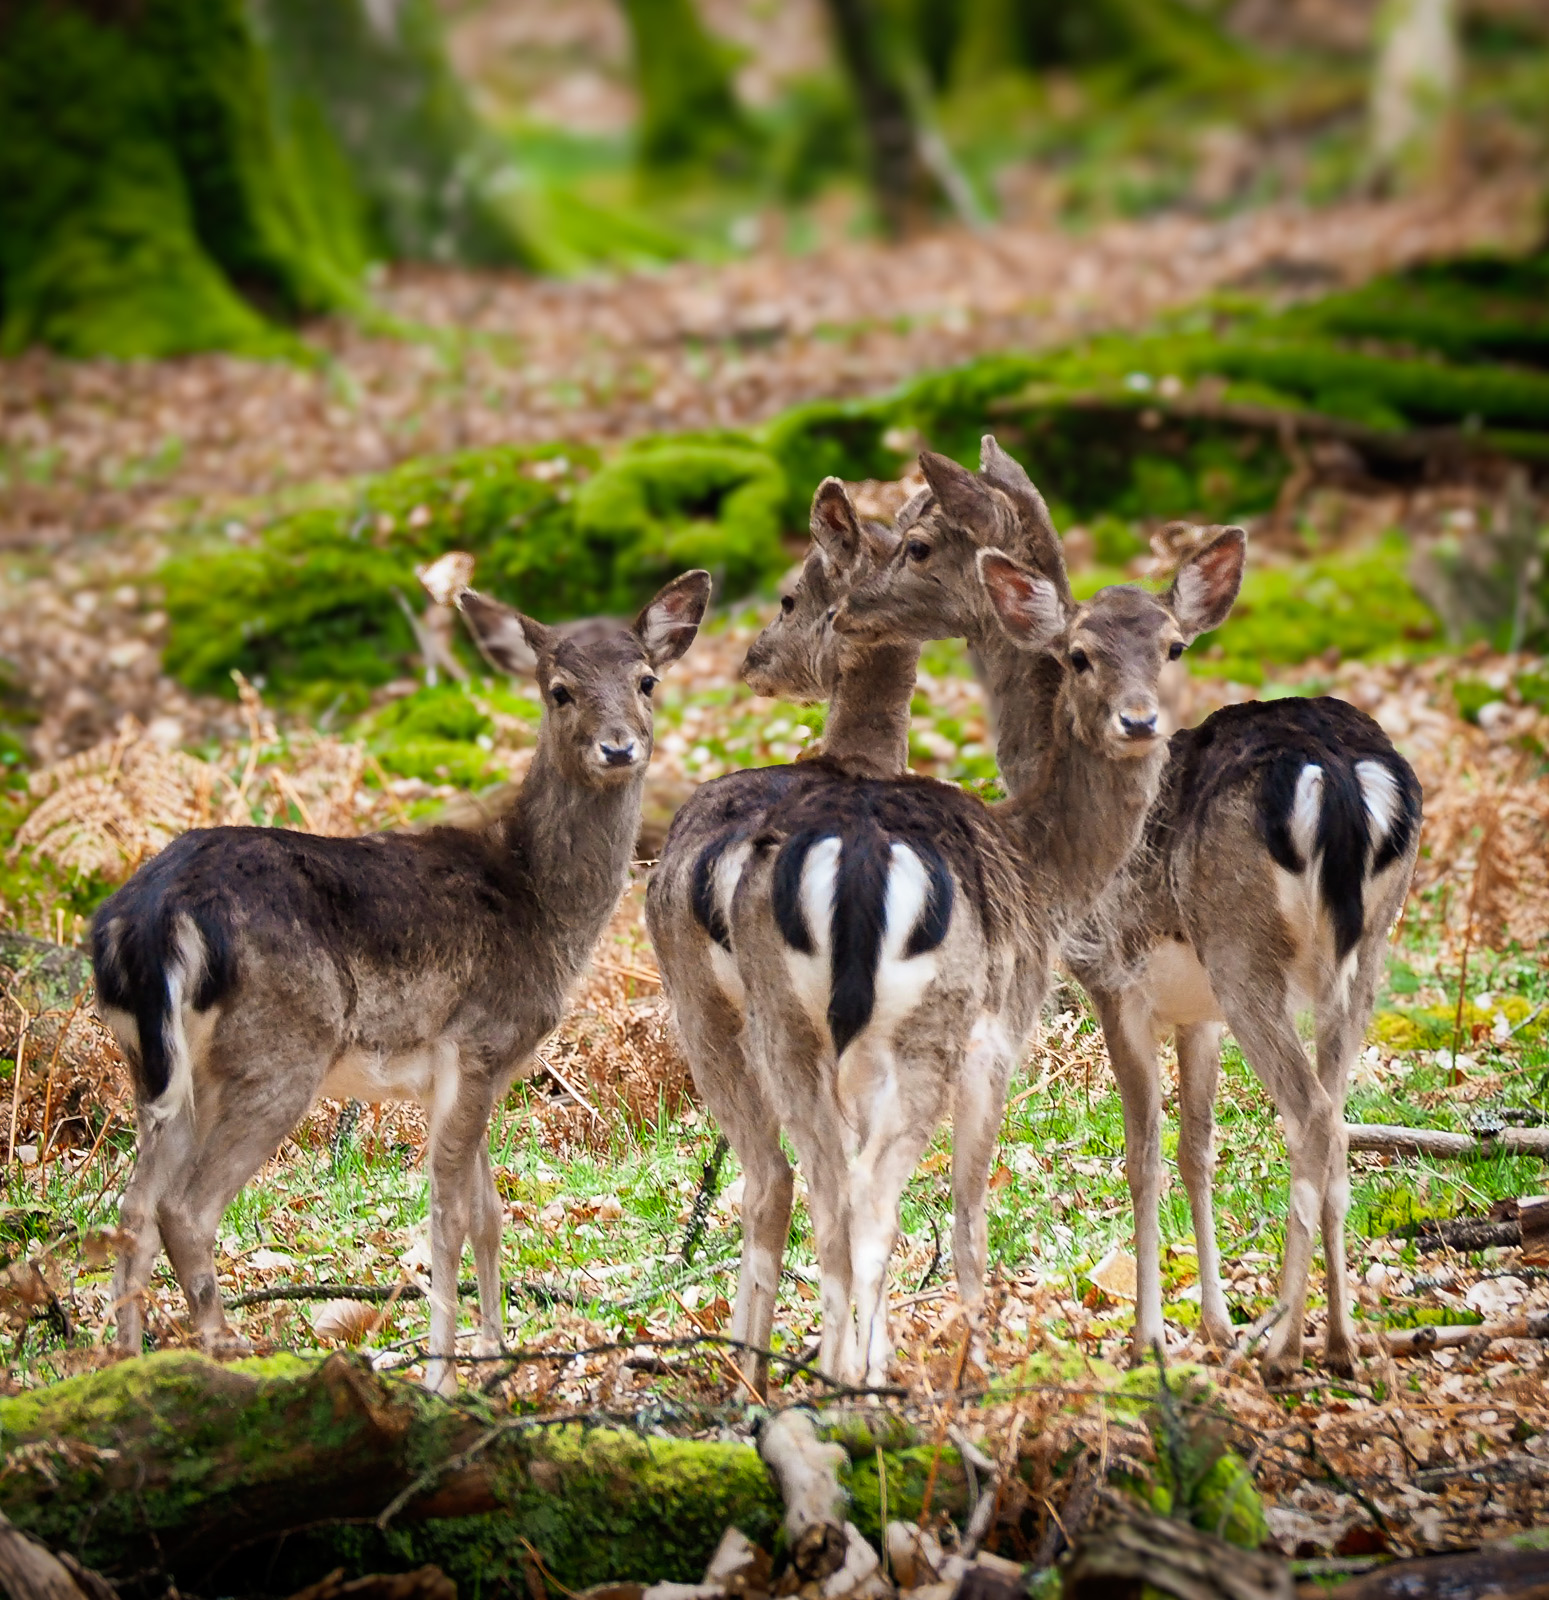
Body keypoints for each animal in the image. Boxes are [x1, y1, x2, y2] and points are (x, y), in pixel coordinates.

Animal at [92, 567, 712, 1393]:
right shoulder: (478, 1042)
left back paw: (127, 1369)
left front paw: (494, 1355)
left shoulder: (472, 1073)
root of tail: (153, 915)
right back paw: (227, 1357)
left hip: (154, 1065)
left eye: (646, 680)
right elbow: (447, 1217)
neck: (542, 906)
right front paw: (444, 1377)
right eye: (559, 690)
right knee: (185, 1209)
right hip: (277, 1049)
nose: (619, 747)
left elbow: (488, 1213)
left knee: (132, 1209)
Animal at [838, 437, 1422, 1379]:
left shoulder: (1109, 974)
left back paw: (1287, 1342)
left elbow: (1141, 1154)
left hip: (1244, 950)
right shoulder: (1197, 1010)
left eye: (916, 542)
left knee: (1310, 1119)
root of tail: (1338, 777)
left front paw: (1149, 1336)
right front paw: (1210, 1321)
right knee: (1334, 1117)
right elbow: (1195, 1148)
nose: (853, 603)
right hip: (1368, 951)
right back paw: (1334, 1339)